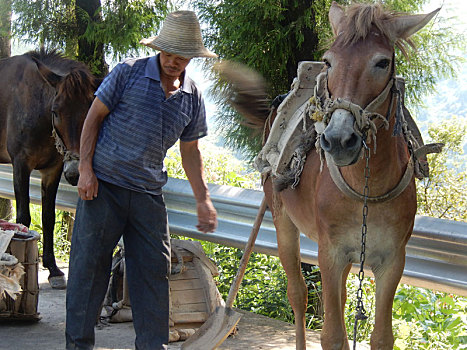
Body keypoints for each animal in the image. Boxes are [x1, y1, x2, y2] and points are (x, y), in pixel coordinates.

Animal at [0, 50, 98, 290]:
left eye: (90, 110)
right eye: (55, 111)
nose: (76, 173)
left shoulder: (52, 170)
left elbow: (48, 218)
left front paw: (53, 269)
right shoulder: (21, 164)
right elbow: (23, 218)